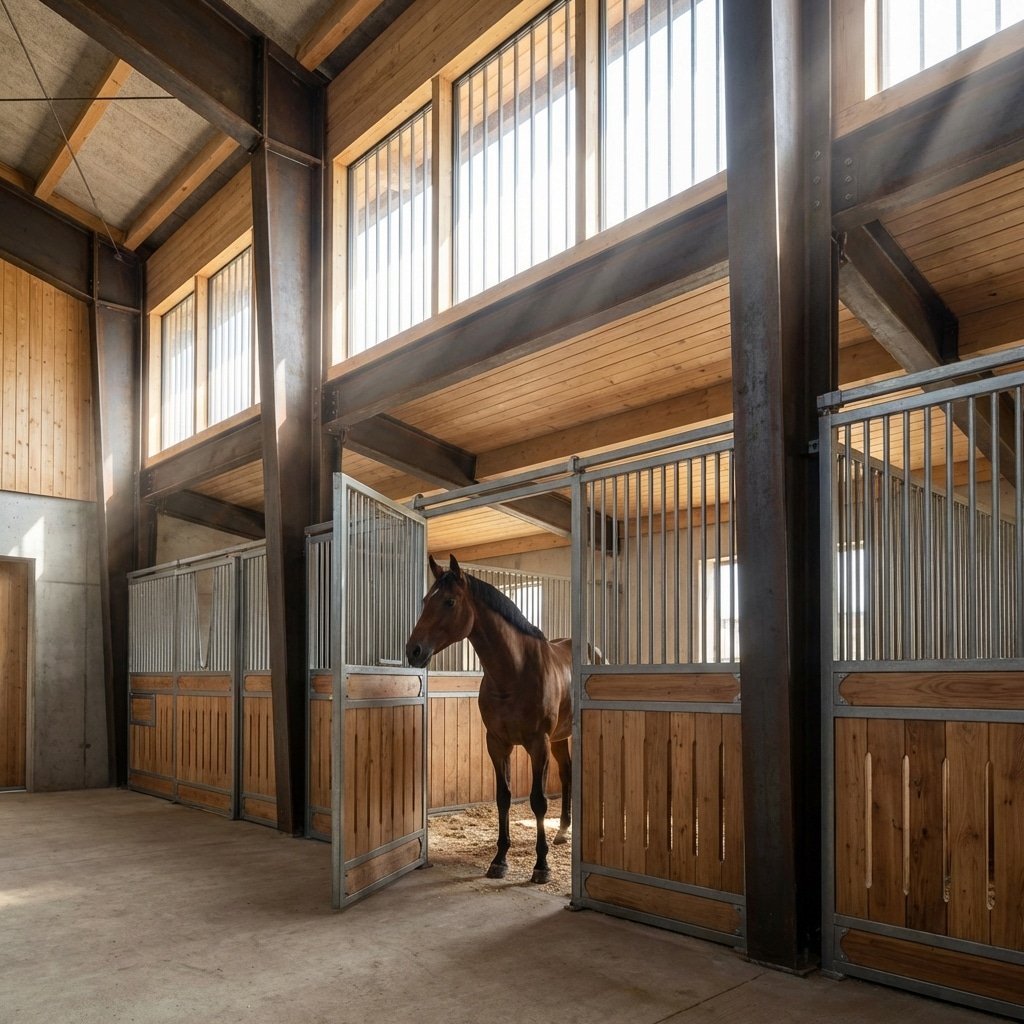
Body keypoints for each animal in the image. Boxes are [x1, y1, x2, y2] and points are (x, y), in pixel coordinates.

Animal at [405, 554, 571, 884]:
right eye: (425, 600)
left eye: (449, 601)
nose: (413, 650)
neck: (515, 672)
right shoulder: (496, 743)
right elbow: (503, 797)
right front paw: (499, 860)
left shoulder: (539, 744)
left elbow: (538, 800)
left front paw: (541, 866)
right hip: (559, 739)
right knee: (568, 773)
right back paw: (561, 832)